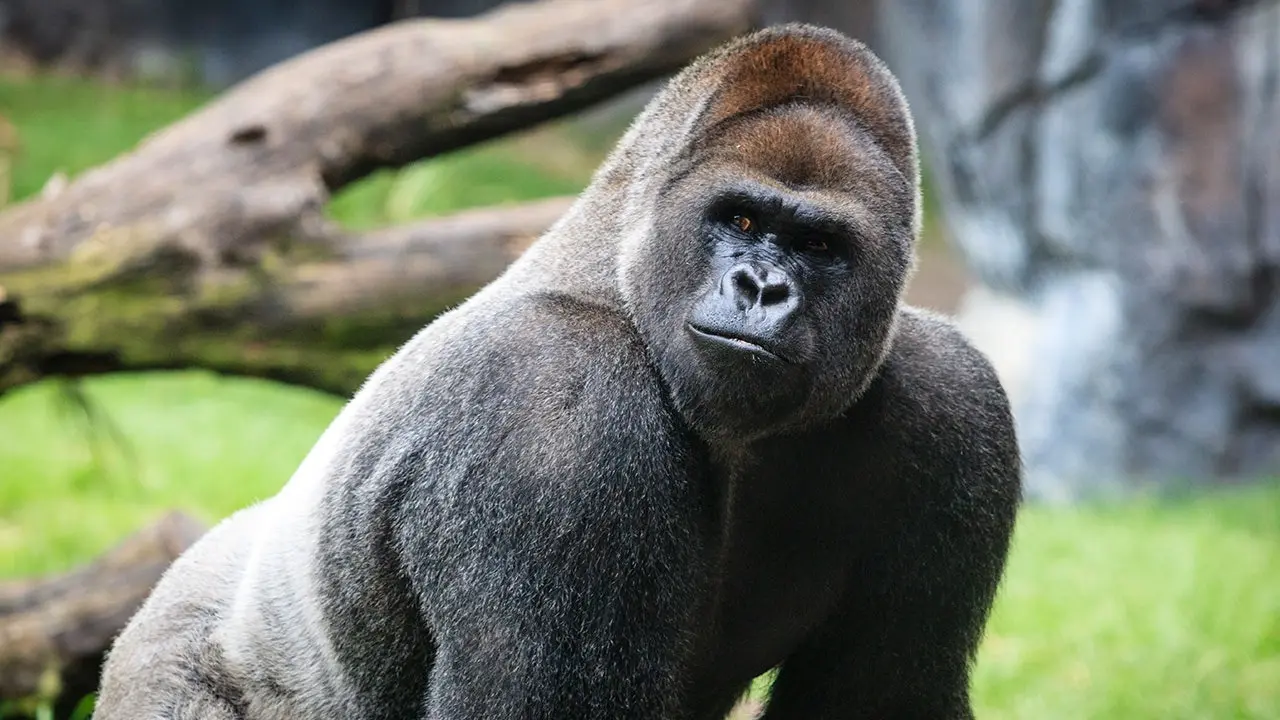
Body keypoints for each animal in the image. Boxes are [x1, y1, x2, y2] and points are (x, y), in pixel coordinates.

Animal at [94, 23, 1022, 720]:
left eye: (821, 245)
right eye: (741, 219)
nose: (762, 288)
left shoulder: (954, 402)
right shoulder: (558, 405)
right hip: (172, 665)